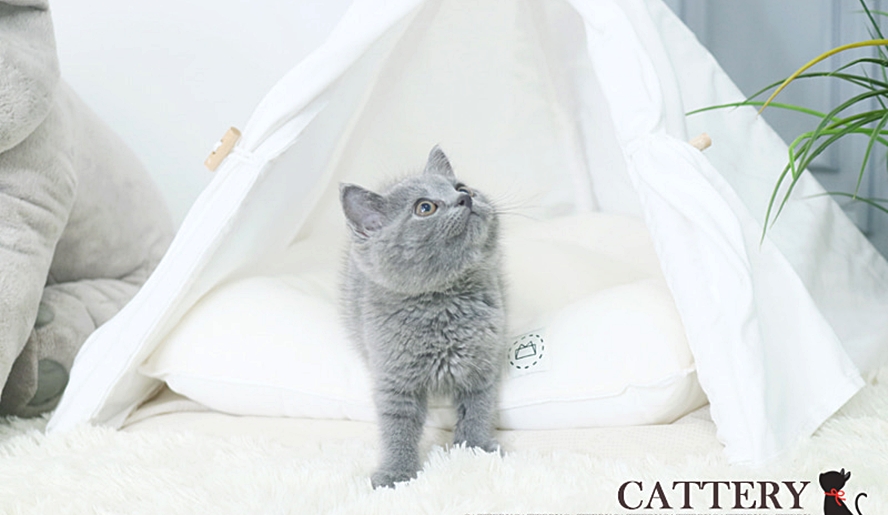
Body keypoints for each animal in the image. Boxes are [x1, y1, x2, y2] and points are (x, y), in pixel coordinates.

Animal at [339, 145, 506, 489]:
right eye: (425, 207)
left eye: (462, 187)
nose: (465, 198)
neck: (443, 302)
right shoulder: (395, 380)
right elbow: (397, 426)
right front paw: (396, 474)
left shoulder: (481, 364)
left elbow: (479, 408)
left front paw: (476, 450)